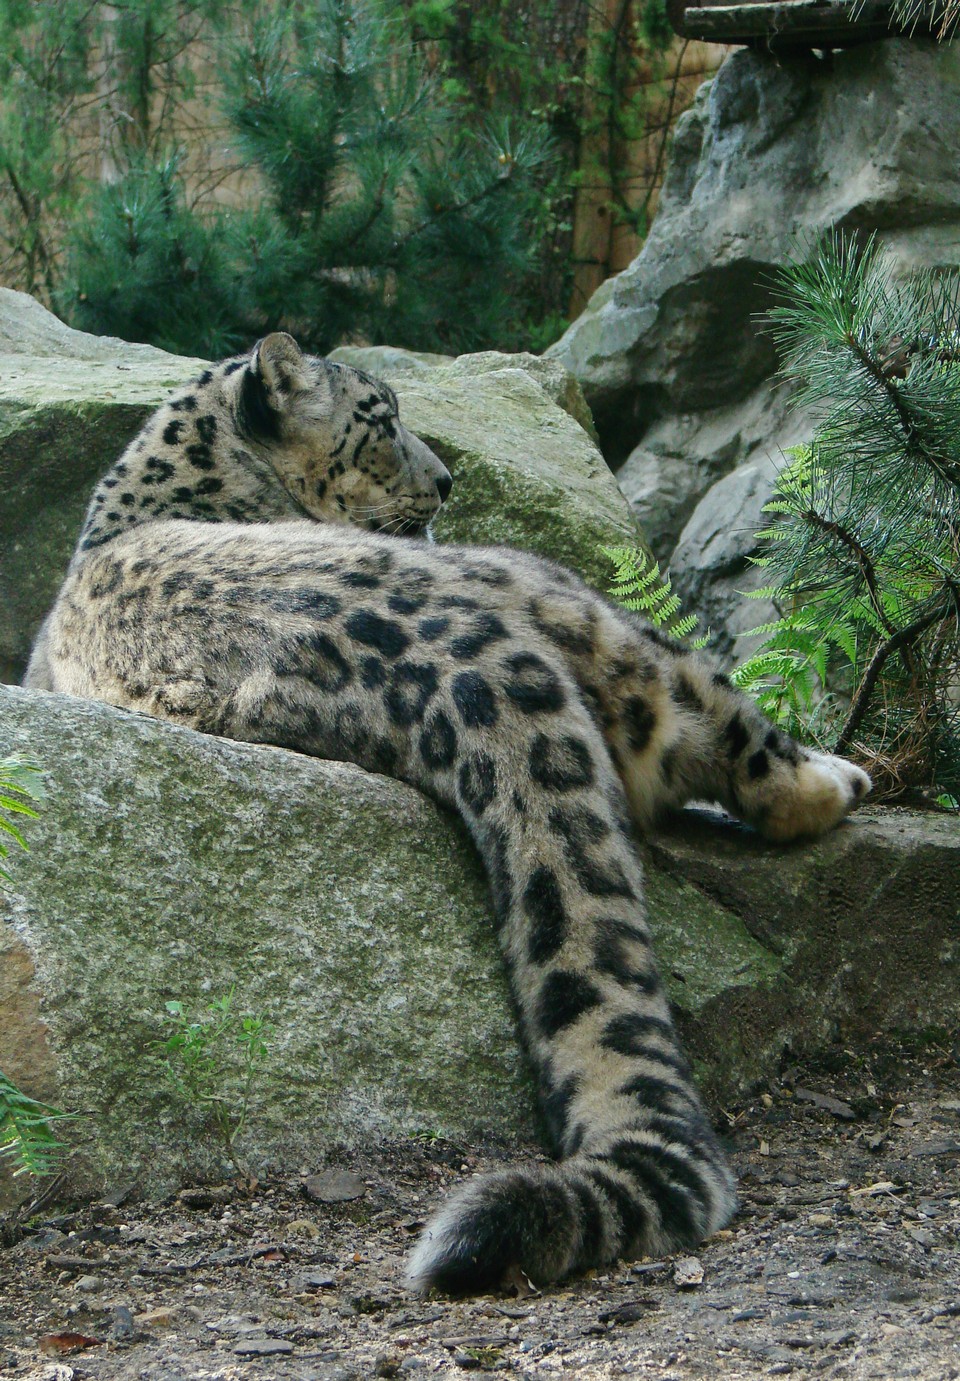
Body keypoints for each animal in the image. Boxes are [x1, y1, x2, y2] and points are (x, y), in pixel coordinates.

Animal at [25, 331, 871, 1295]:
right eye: (380, 417)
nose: (446, 481)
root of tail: (450, 656)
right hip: (571, 598)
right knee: (714, 724)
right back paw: (837, 780)